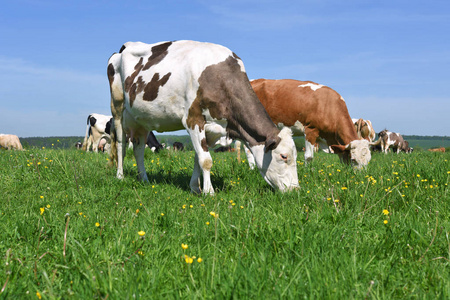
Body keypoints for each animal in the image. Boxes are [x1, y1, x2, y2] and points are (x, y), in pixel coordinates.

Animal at [107, 39, 298, 193]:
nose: (296, 190)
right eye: (284, 156)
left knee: (139, 149)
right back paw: (120, 176)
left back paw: (144, 179)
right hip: (117, 108)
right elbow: (206, 160)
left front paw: (195, 188)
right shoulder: (193, 119)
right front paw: (209, 192)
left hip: (142, 119)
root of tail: (125, 47)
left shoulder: (212, 128)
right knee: (121, 144)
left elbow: (198, 158)